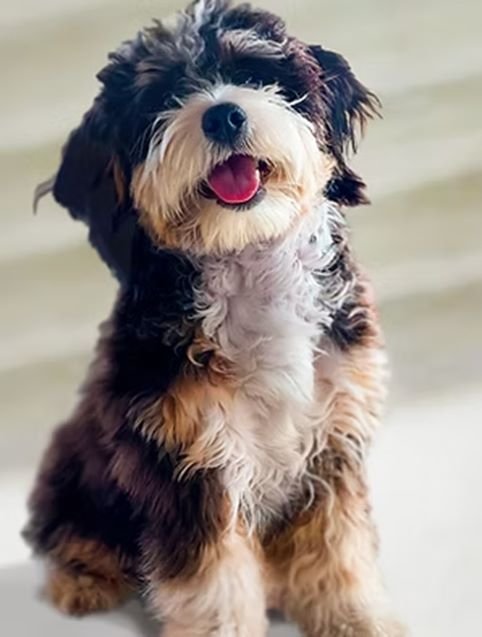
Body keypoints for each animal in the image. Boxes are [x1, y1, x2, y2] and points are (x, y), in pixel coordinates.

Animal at [24, 1, 404, 636]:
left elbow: (338, 550)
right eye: (163, 97)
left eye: (253, 74)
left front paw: (358, 621)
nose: (224, 115)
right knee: (72, 536)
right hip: (72, 469)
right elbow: (213, 584)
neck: (248, 259)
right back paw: (83, 581)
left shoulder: (332, 438)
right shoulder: (184, 464)